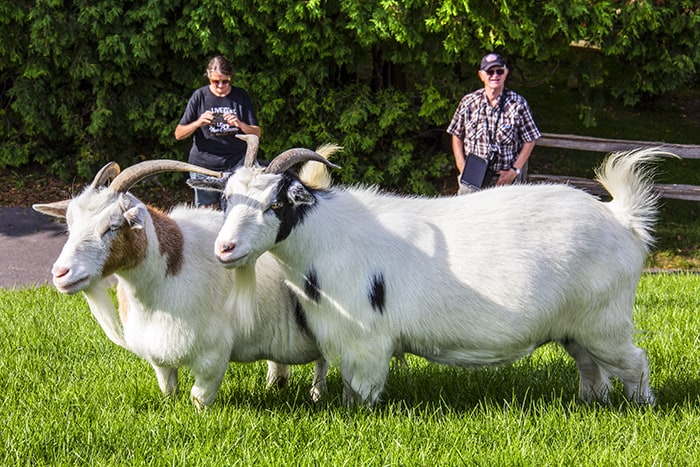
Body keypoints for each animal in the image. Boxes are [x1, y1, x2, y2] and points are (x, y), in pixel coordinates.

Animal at [31, 152, 330, 408]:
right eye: (70, 224)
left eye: (113, 226)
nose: (61, 273)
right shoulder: (159, 354)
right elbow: (168, 388)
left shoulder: (212, 355)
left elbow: (199, 397)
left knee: (323, 361)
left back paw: (317, 395)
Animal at [193, 148, 668, 408]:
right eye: (227, 199)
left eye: (276, 203)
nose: (225, 249)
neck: (327, 237)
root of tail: (621, 217)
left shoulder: (367, 342)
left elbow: (361, 394)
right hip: (577, 325)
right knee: (591, 368)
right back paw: (590, 403)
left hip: (605, 320)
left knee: (635, 363)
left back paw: (642, 407)